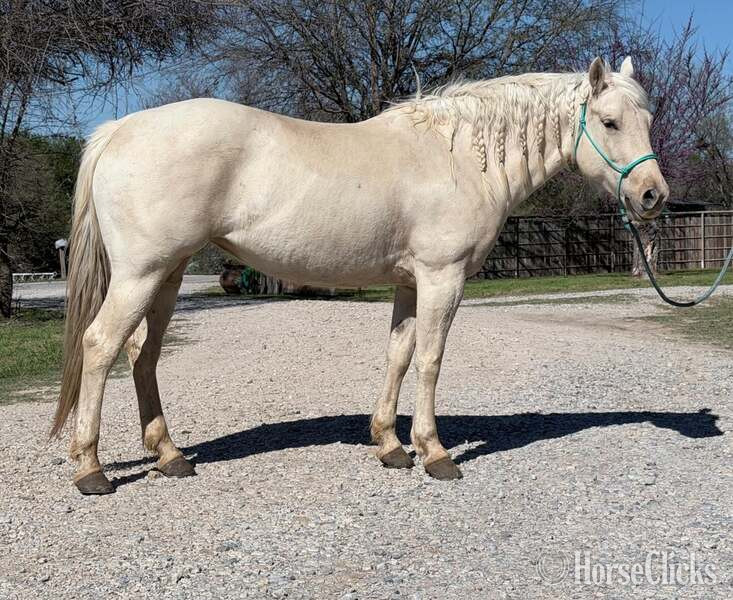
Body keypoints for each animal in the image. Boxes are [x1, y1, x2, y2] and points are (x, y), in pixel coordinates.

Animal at [52, 57, 668, 494]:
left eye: (647, 120)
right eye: (609, 122)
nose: (652, 195)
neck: (458, 158)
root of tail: (119, 129)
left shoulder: (409, 283)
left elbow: (398, 354)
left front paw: (390, 445)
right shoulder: (442, 278)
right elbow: (430, 359)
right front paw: (434, 452)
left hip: (168, 275)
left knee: (143, 354)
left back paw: (170, 456)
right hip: (140, 274)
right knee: (101, 345)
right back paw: (91, 470)